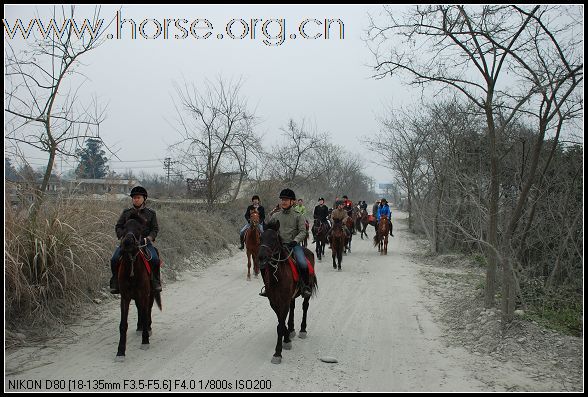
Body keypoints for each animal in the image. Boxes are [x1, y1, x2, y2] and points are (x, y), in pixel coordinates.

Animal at [115, 213, 162, 358]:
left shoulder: (144, 294)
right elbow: (123, 324)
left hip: (150, 294)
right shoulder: (125, 297)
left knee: (147, 309)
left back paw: (147, 328)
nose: (127, 243)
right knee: (140, 308)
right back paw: (140, 327)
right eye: (124, 227)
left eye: (139, 229)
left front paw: (145, 341)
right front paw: (120, 351)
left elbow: (146, 313)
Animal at [258, 221, 320, 364]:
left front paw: (278, 353)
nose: (261, 257)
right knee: (293, 307)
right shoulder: (274, 302)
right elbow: (280, 323)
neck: (277, 276)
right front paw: (286, 339)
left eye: (274, 238)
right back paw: (291, 330)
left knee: (305, 307)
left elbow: (280, 325)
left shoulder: (284, 301)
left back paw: (302, 330)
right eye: (261, 238)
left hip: (306, 293)